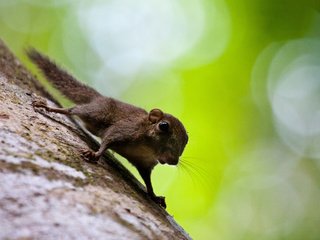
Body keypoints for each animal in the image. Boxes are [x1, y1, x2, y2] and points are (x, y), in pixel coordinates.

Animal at [27, 49, 189, 208]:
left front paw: (154, 196)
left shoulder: (145, 164)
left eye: (186, 140)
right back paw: (48, 107)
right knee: (73, 110)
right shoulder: (123, 130)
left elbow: (148, 181)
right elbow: (107, 141)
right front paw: (95, 154)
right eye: (163, 126)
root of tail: (100, 98)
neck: (148, 148)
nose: (173, 161)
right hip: (97, 112)